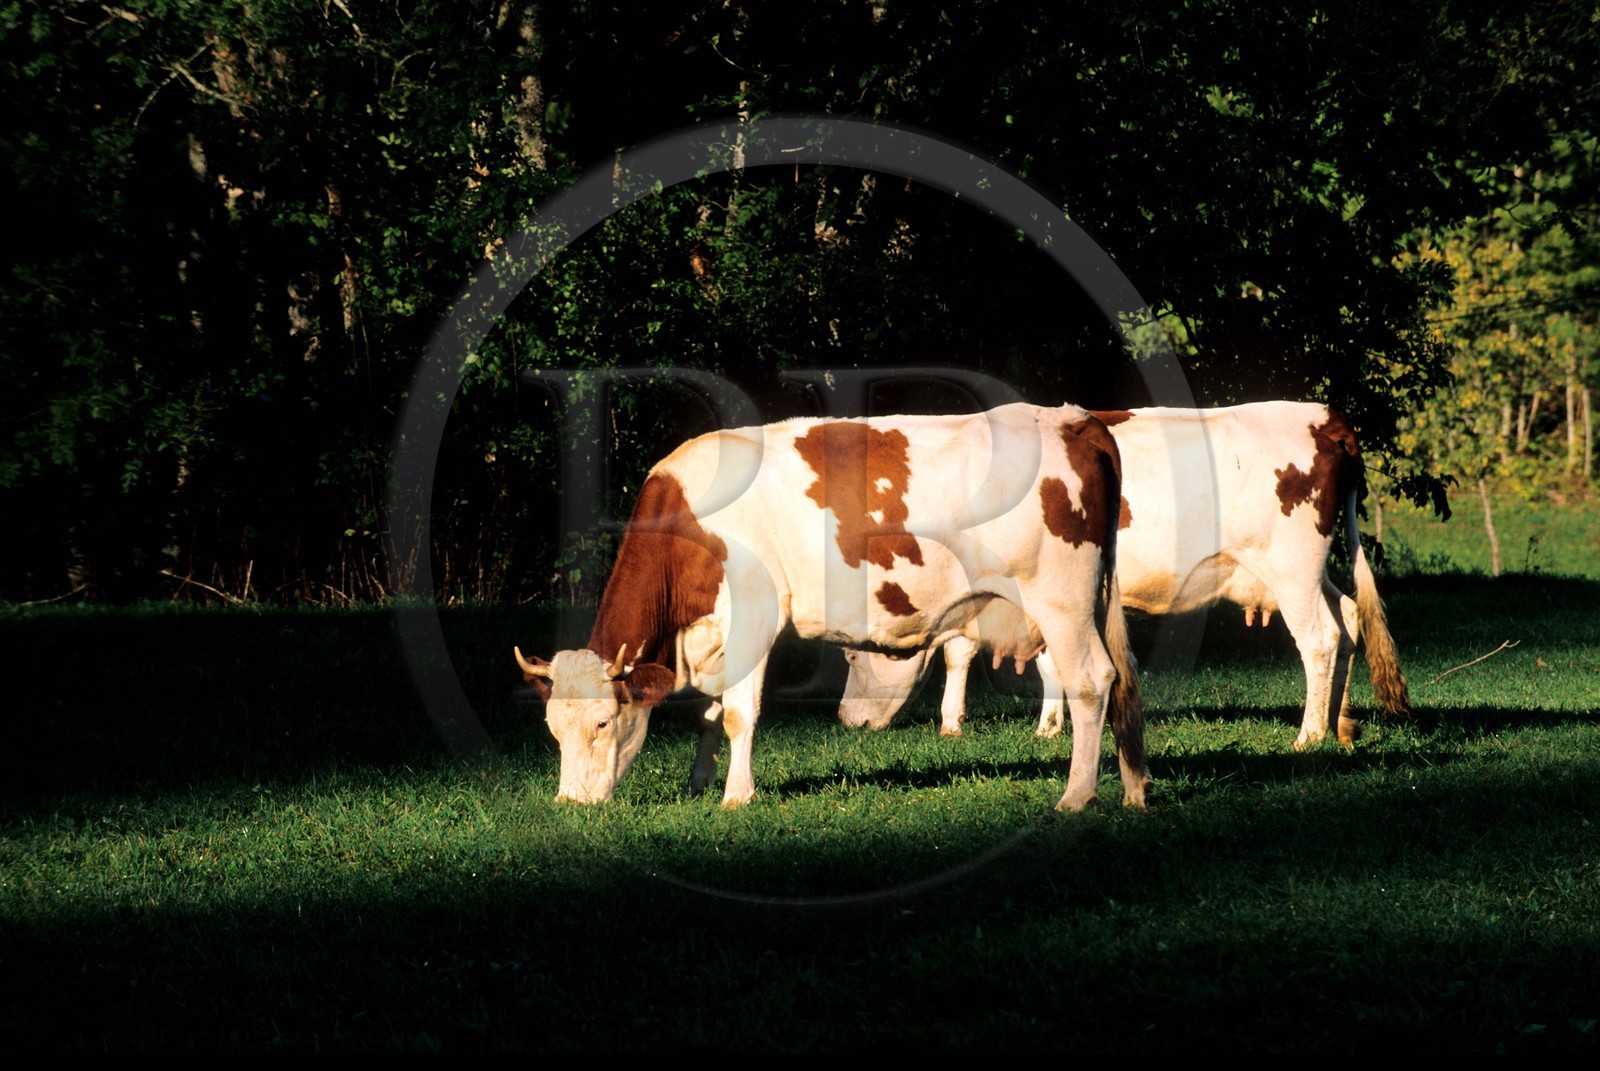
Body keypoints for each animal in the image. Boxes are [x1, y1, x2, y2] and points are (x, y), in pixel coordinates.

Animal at [514, 403, 1151, 811]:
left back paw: (1076, 795)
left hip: (1060, 597)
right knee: (1119, 680)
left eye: (602, 722)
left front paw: (735, 796)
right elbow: (709, 713)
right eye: (551, 729)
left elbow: (738, 713)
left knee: (1091, 680)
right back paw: (1134, 788)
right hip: (1090, 599)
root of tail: (1075, 419)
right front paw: (699, 783)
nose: (571, 802)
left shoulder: (754, 617)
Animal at [837, 403, 1411, 748]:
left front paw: (972, 722)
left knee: (1320, 639)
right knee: (1350, 620)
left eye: (850, 655)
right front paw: (1047, 726)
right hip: (1307, 571)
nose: (846, 720)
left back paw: (1309, 734)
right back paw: (1339, 723)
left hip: (1292, 567)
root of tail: (1321, 415)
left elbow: (989, 654)